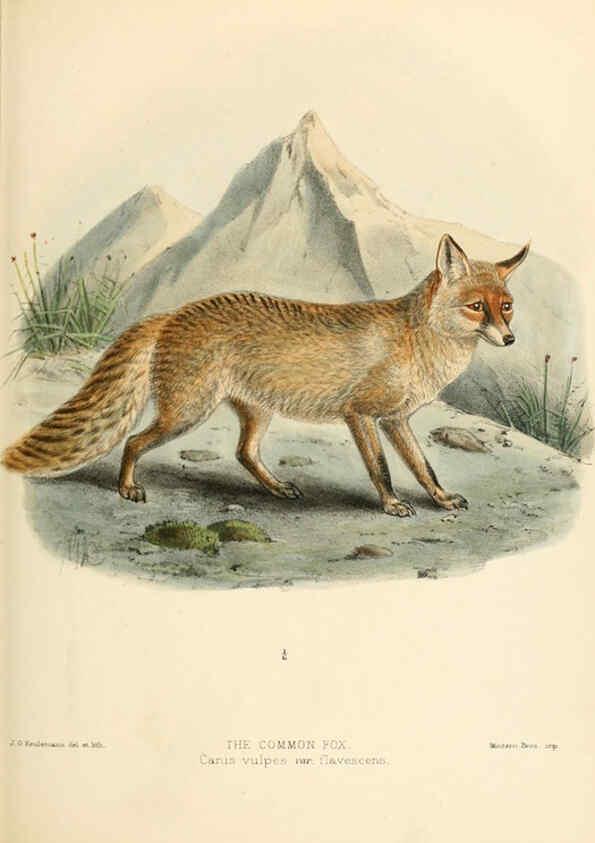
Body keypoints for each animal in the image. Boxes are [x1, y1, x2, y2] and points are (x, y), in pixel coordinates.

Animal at [2, 234, 529, 516]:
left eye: (506, 306)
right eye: (476, 307)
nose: (509, 340)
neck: (418, 343)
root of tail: (174, 313)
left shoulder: (396, 420)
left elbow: (424, 467)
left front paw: (440, 499)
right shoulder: (360, 415)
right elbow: (380, 469)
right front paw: (391, 505)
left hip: (253, 413)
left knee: (243, 453)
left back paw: (276, 488)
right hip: (186, 413)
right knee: (132, 441)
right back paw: (127, 488)